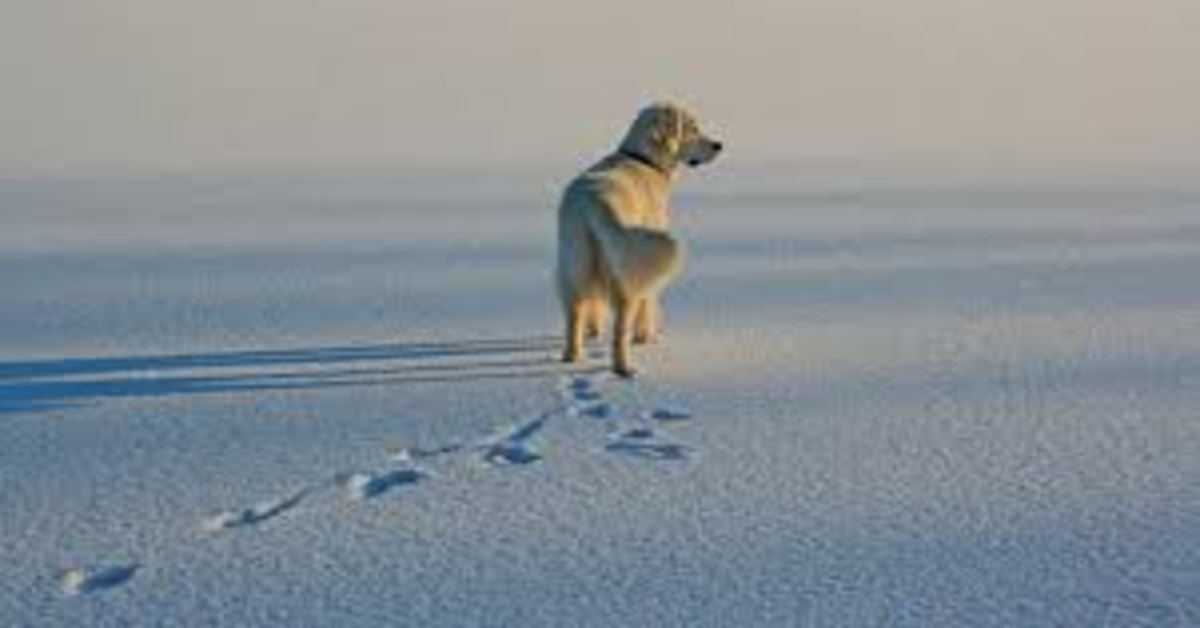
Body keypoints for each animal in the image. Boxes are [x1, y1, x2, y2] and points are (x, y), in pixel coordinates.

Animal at [554, 100, 720, 377]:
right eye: (692, 128)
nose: (719, 145)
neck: (643, 160)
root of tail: (593, 203)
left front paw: (594, 333)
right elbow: (649, 301)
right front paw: (646, 337)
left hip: (574, 264)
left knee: (575, 313)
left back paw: (572, 358)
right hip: (622, 272)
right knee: (621, 325)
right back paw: (624, 368)